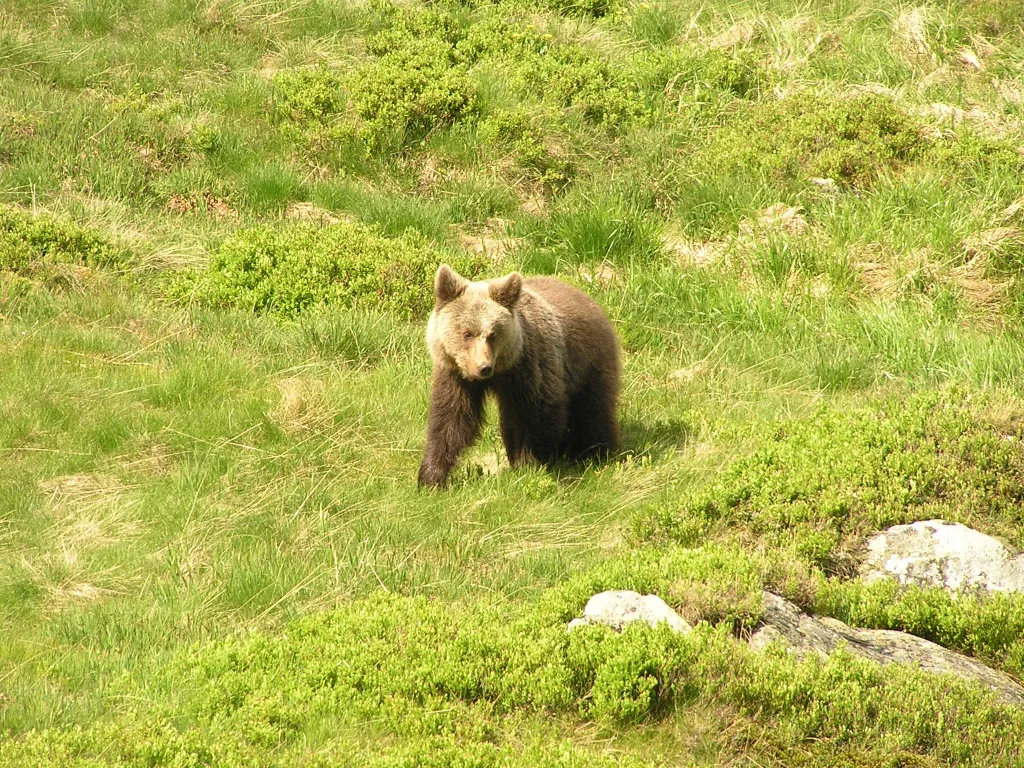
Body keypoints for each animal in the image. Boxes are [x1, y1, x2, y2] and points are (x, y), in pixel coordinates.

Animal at [417, 264, 622, 489]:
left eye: (492, 334)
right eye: (467, 333)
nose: (483, 367)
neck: (500, 372)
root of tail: (588, 299)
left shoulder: (529, 369)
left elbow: (532, 416)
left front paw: (527, 464)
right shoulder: (456, 376)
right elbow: (452, 418)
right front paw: (431, 477)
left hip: (587, 361)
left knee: (593, 410)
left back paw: (596, 453)